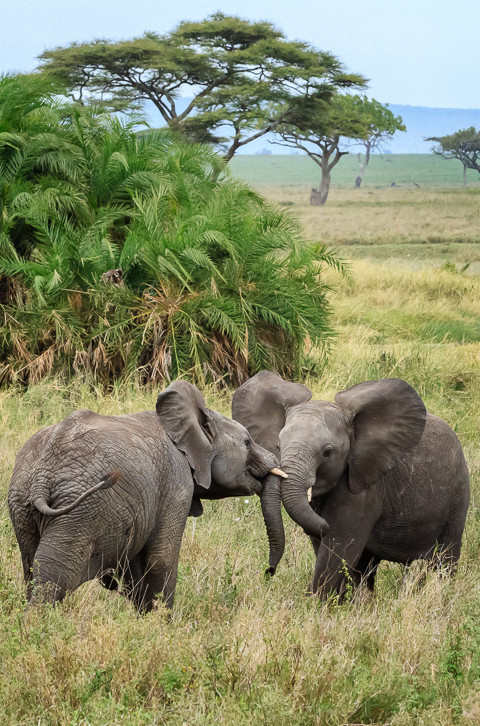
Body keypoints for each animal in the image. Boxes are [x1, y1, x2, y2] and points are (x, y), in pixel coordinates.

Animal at [9, 382, 284, 616]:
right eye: (247, 442)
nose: (268, 573)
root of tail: (43, 475)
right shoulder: (176, 482)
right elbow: (162, 559)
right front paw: (161, 625)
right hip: (79, 514)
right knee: (52, 580)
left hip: (22, 505)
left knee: (31, 568)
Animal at [234, 372, 470, 600]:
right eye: (278, 445)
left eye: (327, 452)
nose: (269, 571)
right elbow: (328, 548)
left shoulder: (364, 489)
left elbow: (339, 544)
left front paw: (316, 605)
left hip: (458, 496)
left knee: (445, 559)